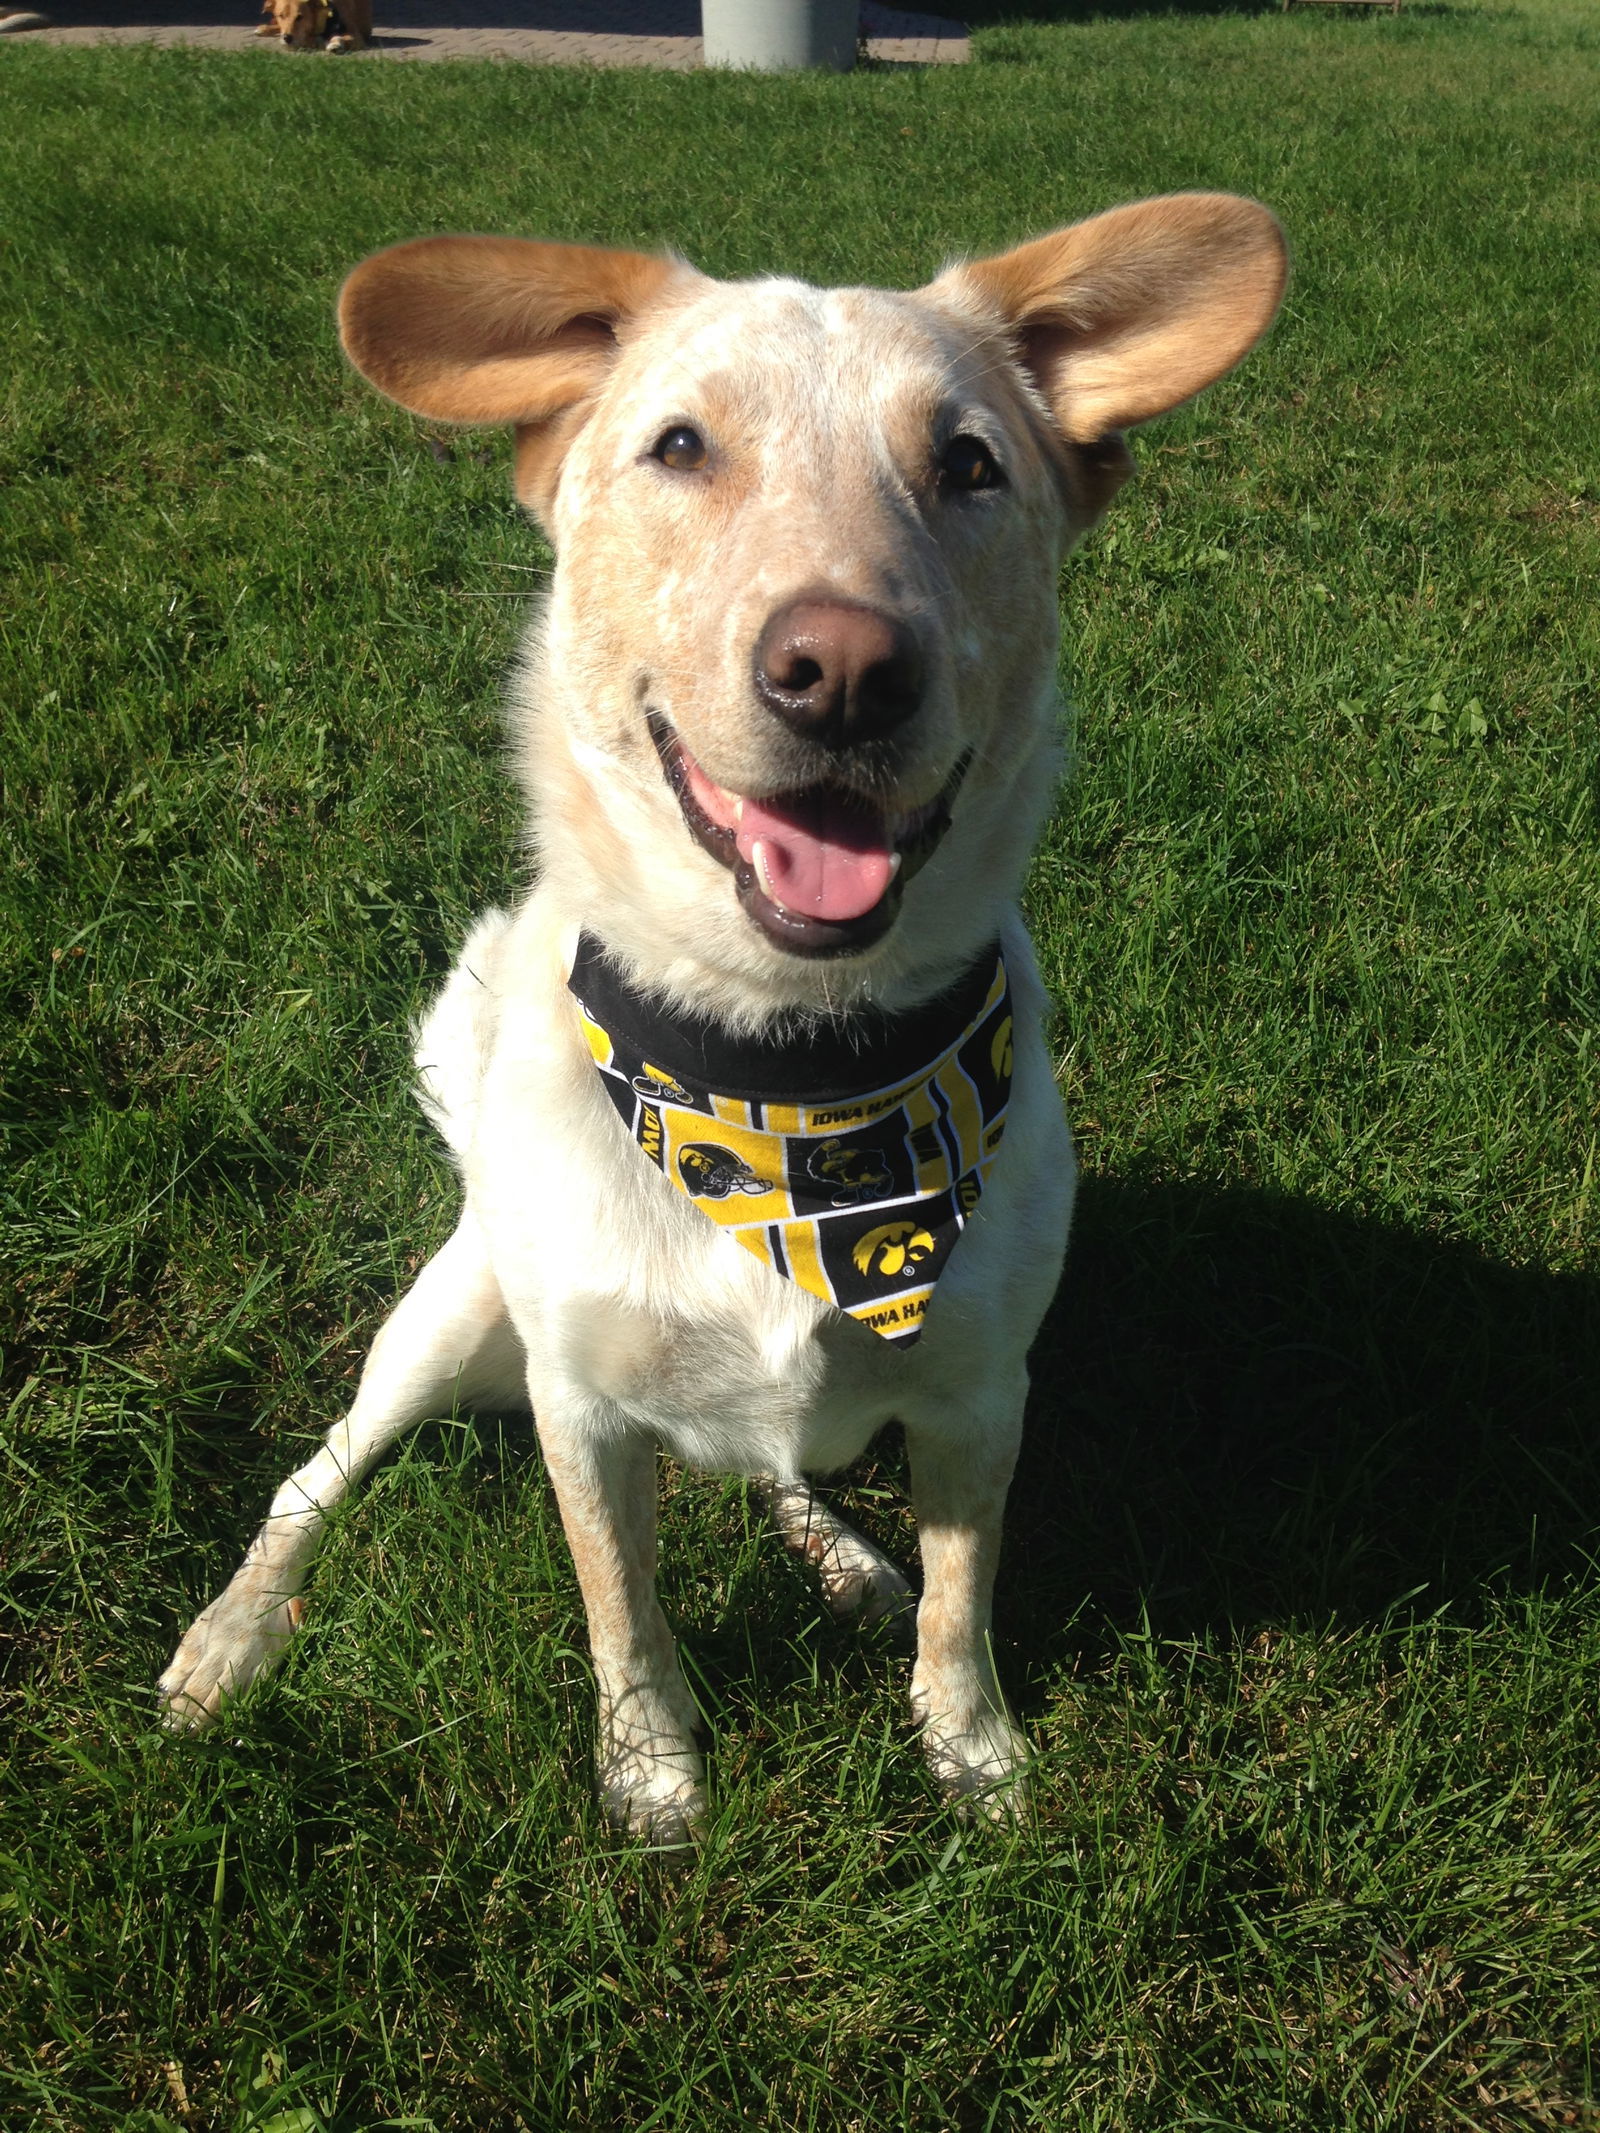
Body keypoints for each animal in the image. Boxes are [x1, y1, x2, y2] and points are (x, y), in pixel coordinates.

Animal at [163, 191, 1288, 1842]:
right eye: (681, 447)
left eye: (970, 463)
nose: (844, 672)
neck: (787, 1073)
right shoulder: (579, 1409)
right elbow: (617, 1604)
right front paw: (650, 1770)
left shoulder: (980, 1398)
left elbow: (962, 1603)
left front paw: (973, 1754)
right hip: (448, 1321)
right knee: (315, 1473)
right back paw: (236, 1631)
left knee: (780, 1466)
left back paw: (842, 1556)